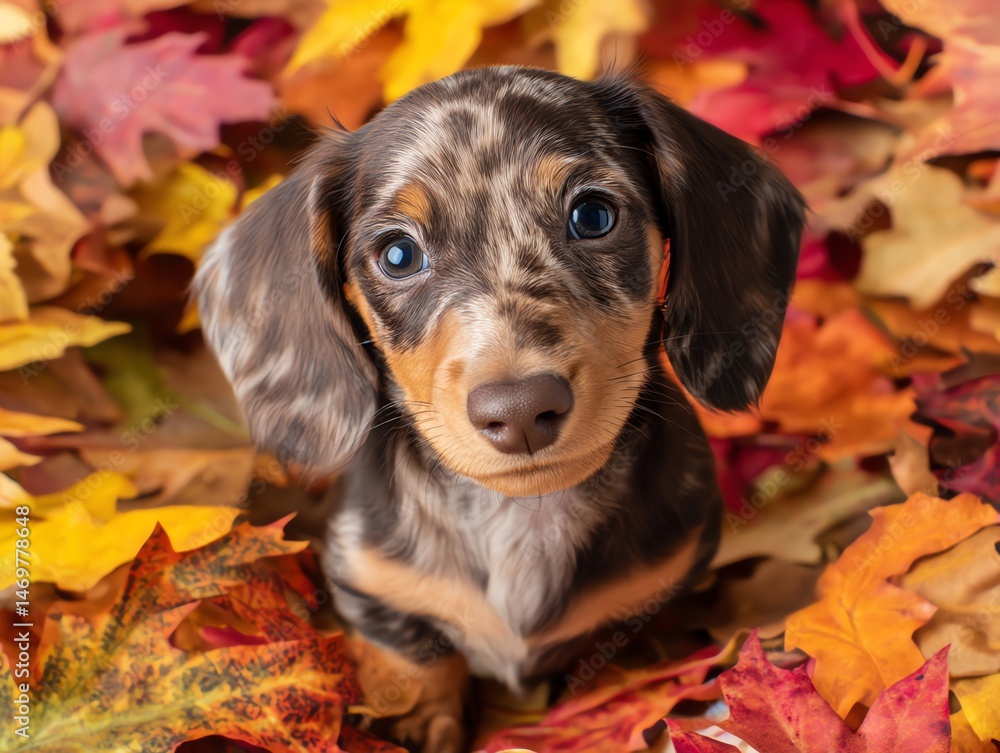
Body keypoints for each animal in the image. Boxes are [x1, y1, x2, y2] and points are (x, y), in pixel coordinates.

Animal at [195, 65, 804, 751]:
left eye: (593, 215)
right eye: (398, 254)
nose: (519, 410)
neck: (520, 517)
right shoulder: (370, 586)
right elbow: (415, 664)